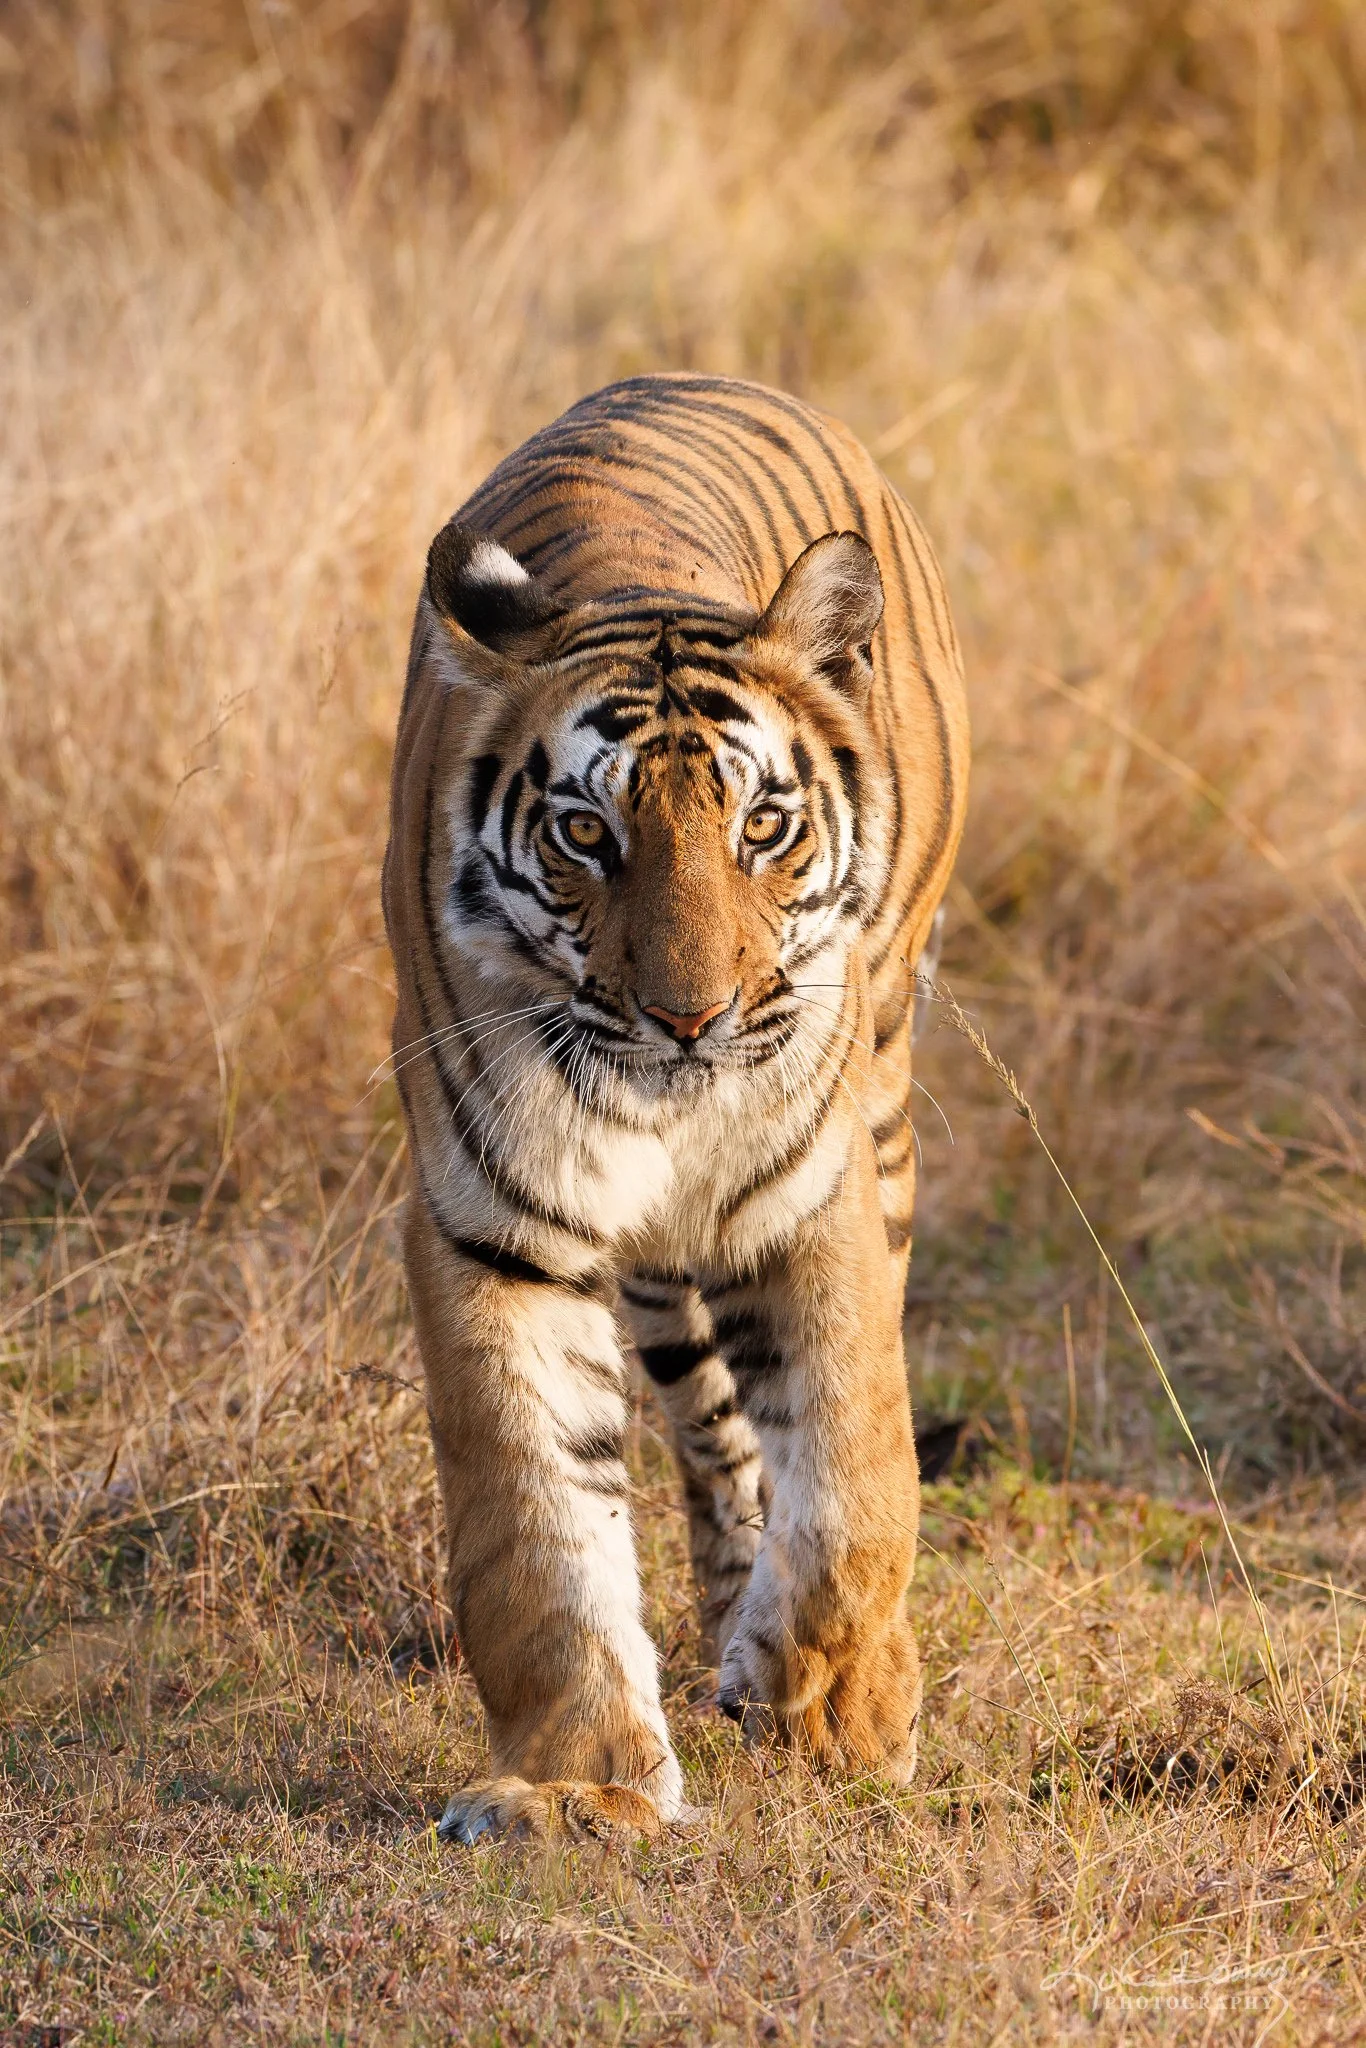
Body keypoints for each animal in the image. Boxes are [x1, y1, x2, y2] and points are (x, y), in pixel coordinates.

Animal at [382, 373, 969, 1843]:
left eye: (761, 825)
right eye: (587, 835)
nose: (692, 1018)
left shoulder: (816, 1197)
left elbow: (854, 1467)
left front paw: (830, 1706)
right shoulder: (494, 1227)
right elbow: (536, 1528)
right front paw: (576, 1785)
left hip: (885, 1093)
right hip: (652, 1270)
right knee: (711, 1433)